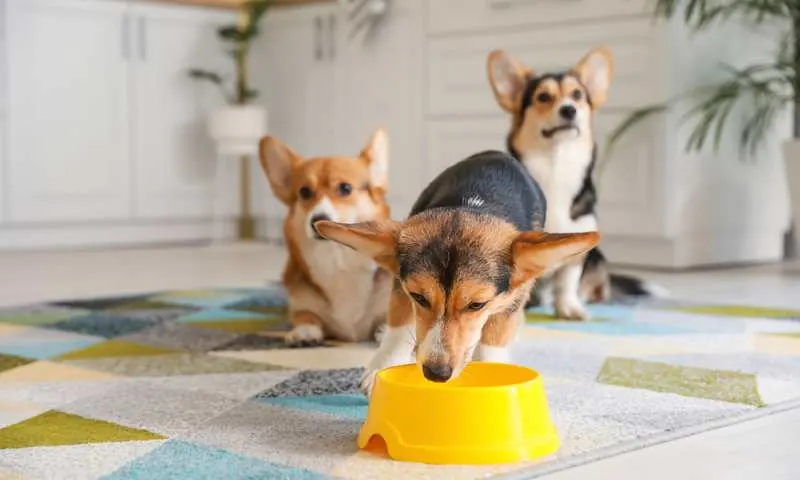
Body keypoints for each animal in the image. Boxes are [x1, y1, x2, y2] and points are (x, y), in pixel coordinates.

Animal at [258, 129, 393, 346]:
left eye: (345, 188)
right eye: (304, 192)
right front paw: (304, 332)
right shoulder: (301, 306)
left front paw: (385, 331)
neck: (337, 257)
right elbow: (305, 316)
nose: (317, 219)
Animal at [316, 150, 599, 394]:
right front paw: (382, 367)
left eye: (477, 305)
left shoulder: (511, 298)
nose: (436, 374)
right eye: (419, 298)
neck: (473, 204)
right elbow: (400, 325)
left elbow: (494, 339)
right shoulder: (401, 288)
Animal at [487, 47, 663, 320]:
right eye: (543, 97)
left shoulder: (578, 249)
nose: (569, 110)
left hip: (597, 256)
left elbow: (567, 282)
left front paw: (569, 308)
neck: (557, 167)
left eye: (578, 95)